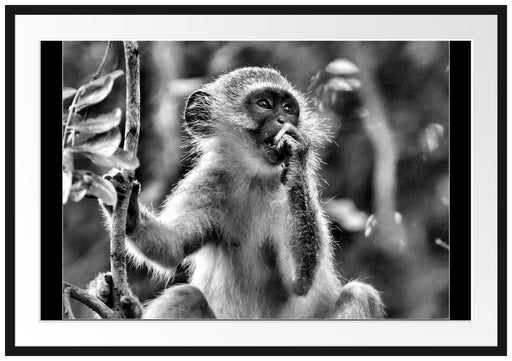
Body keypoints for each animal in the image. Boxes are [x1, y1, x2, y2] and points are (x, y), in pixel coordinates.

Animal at [89, 66, 384, 316]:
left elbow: (299, 280)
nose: (282, 120)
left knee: (360, 295)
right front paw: (126, 208)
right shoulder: (208, 181)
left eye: (289, 109)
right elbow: (173, 248)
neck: (253, 177)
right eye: (264, 104)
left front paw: (298, 155)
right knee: (183, 296)